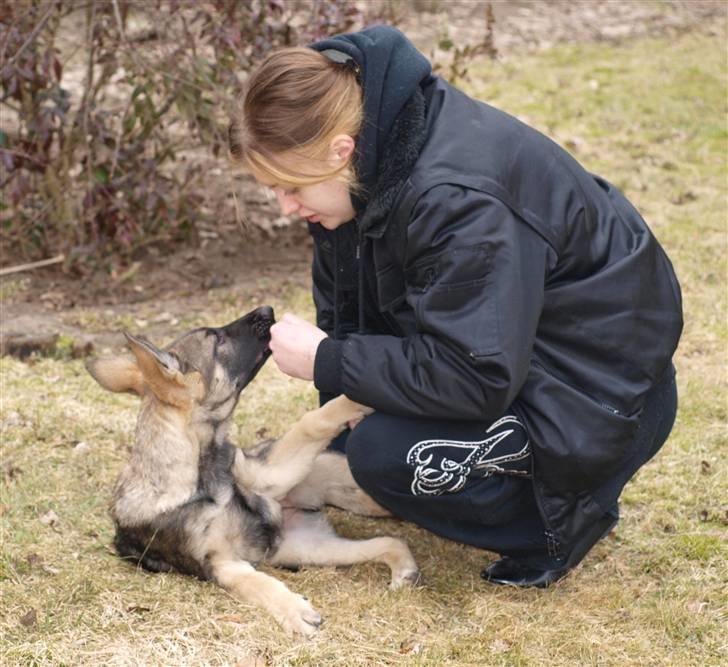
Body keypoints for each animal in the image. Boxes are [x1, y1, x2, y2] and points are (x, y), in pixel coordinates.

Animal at [87, 308, 420, 636]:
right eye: (217, 339)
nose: (267, 310)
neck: (199, 478)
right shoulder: (223, 563)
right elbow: (258, 583)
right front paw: (294, 611)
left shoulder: (266, 476)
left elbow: (311, 422)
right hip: (308, 547)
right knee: (389, 542)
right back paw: (404, 566)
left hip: (343, 492)